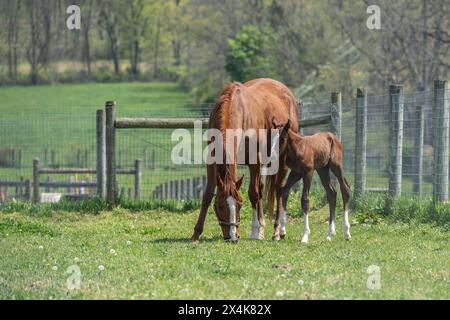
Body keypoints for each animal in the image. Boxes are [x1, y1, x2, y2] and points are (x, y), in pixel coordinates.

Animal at [190, 78, 298, 242]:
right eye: (220, 206)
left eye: (240, 205)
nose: (233, 237)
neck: (234, 108)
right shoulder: (211, 160)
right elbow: (207, 194)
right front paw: (196, 233)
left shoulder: (255, 162)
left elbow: (253, 194)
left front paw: (254, 231)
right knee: (262, 188)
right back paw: (263, 229)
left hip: (281, 162)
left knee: (279, 191)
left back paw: (277, 231)